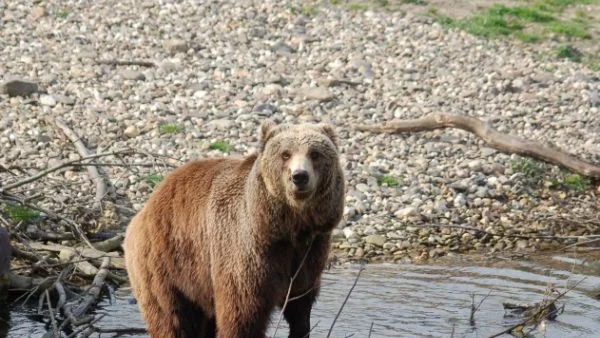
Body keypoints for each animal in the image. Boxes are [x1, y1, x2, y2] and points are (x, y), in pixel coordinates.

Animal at [124, 119, 344, 338]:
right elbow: (242, 313)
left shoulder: (308, 252)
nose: (299, 176)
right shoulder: (246, 251)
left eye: (314, 153)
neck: (286, 227)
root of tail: (147, 206)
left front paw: (300, 327)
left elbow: (300, 304)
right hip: (167, 263)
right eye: (285, 154)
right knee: (172, 317)